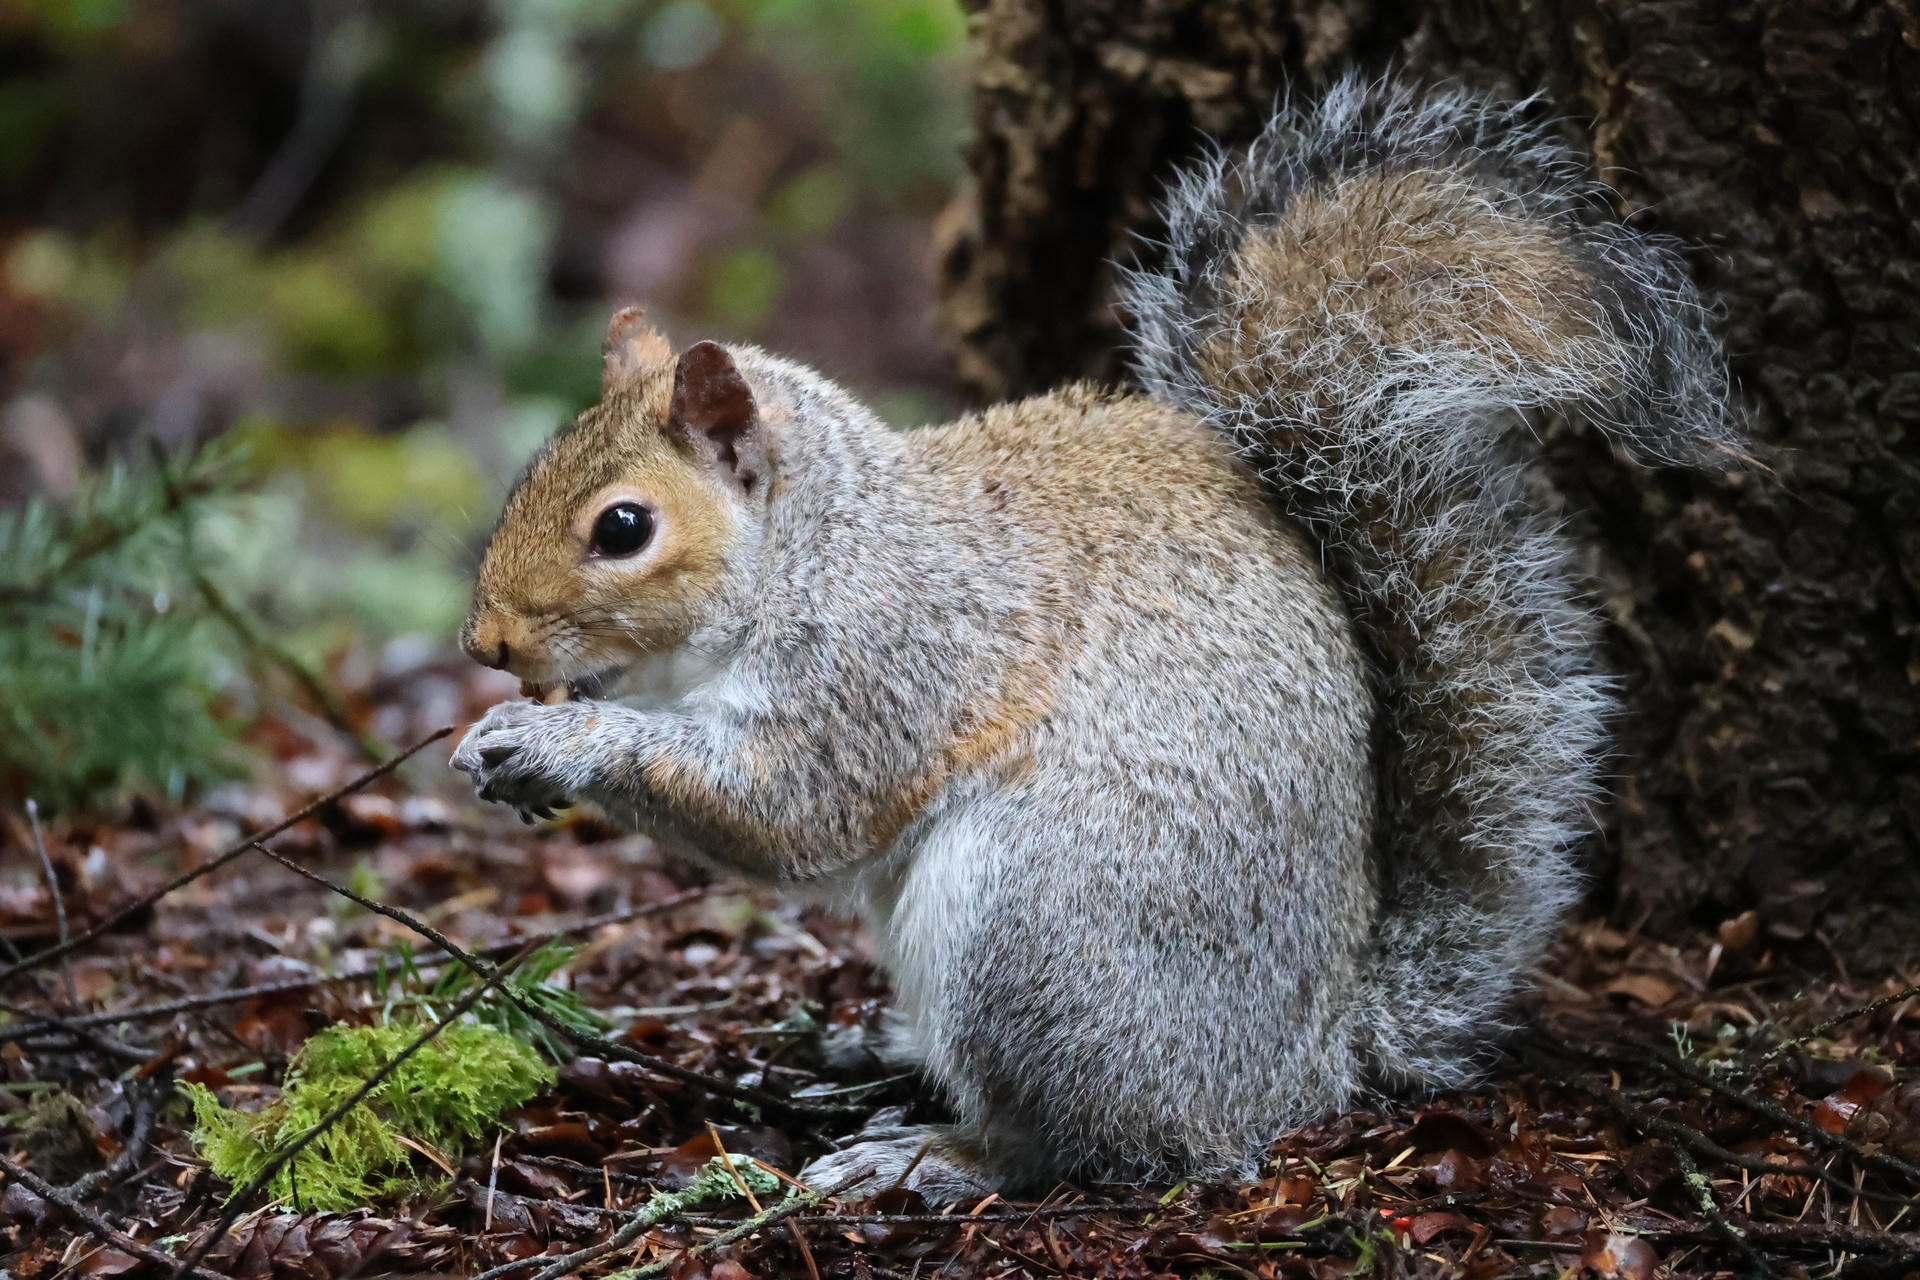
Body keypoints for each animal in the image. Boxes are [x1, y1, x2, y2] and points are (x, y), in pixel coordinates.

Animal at [452, 76, 1742, 1198]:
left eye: (624, 526)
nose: (486, 644)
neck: (814, 550)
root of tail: (1311, 1057)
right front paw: (496, 746)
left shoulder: (894, 655)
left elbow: (788, 807)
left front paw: (551, 742)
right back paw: (876, 1048)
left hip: (1039, 932)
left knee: (1090, 1140)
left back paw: (936, 1153)